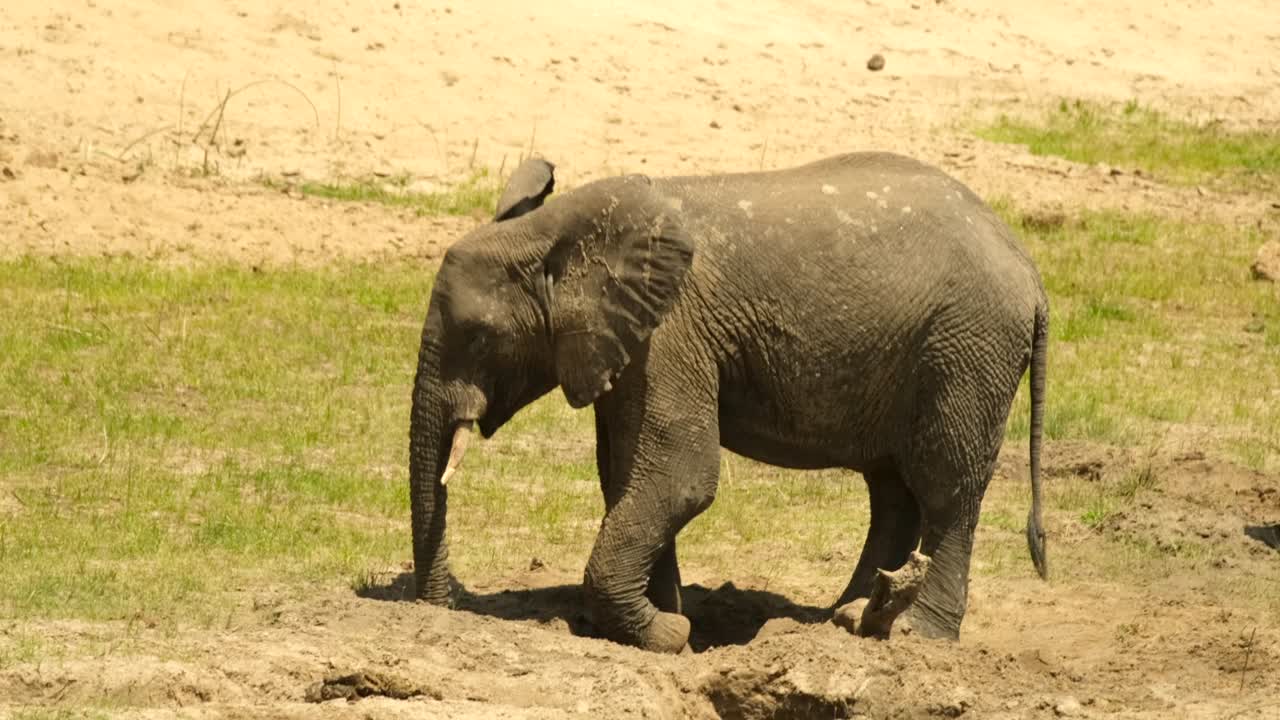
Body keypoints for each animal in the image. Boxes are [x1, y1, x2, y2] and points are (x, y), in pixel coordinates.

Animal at [407, 151, 1049, 653]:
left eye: (478, 336)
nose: (442, 606)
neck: (553, 232)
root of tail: (1029, 268)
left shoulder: (672, 333)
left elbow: (679, 478)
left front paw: (667, 634)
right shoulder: (629, 341)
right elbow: (627, 477)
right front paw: (668, 623)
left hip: (969, 348)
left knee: (945, 490)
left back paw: (916, 632)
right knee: (892, 490)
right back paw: (847, 619)